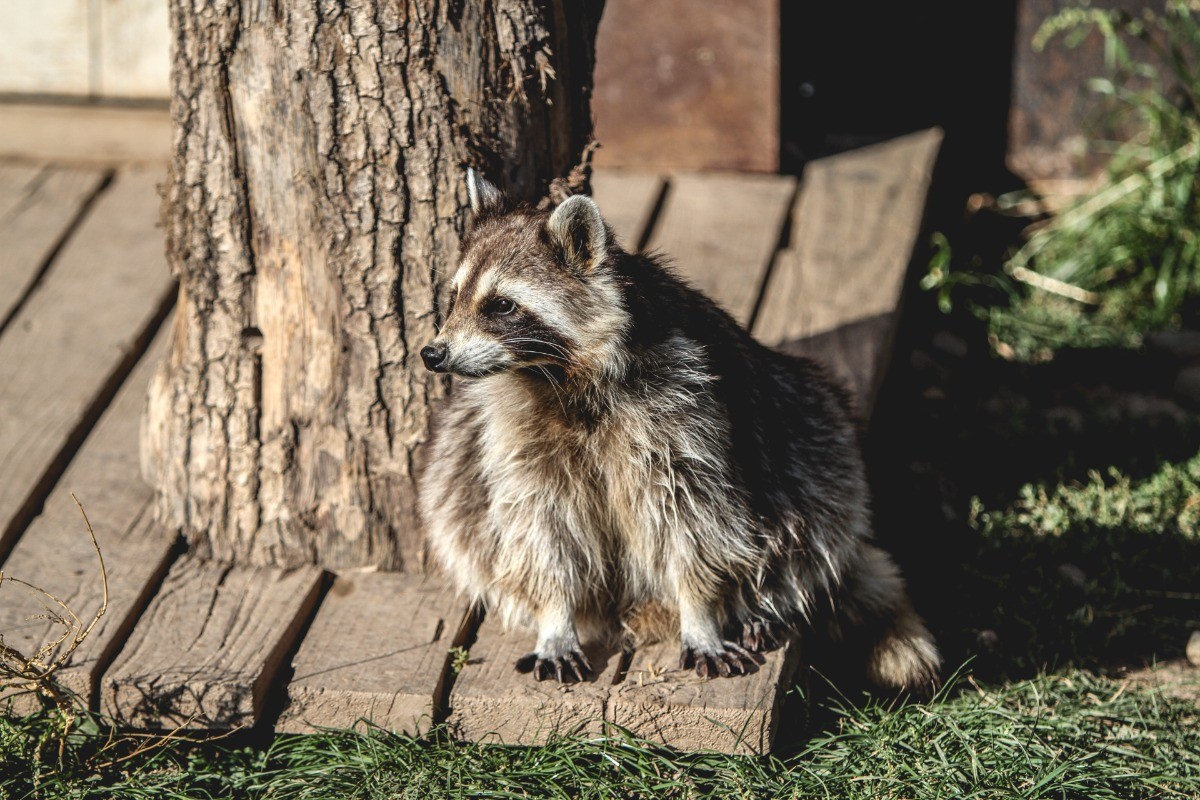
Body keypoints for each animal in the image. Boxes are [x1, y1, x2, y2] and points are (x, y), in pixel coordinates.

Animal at [417, 170, 940, 690]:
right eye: (454, 296)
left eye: (501, 305)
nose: (433, 353)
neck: (558, 375)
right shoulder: (514, 432)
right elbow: (540, 526)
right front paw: (555, 614)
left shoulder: (682, 406)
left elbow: (692, 517)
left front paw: (700, 609)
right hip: (457, 461)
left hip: (810, 420)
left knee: (819, 501)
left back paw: (762, 599)